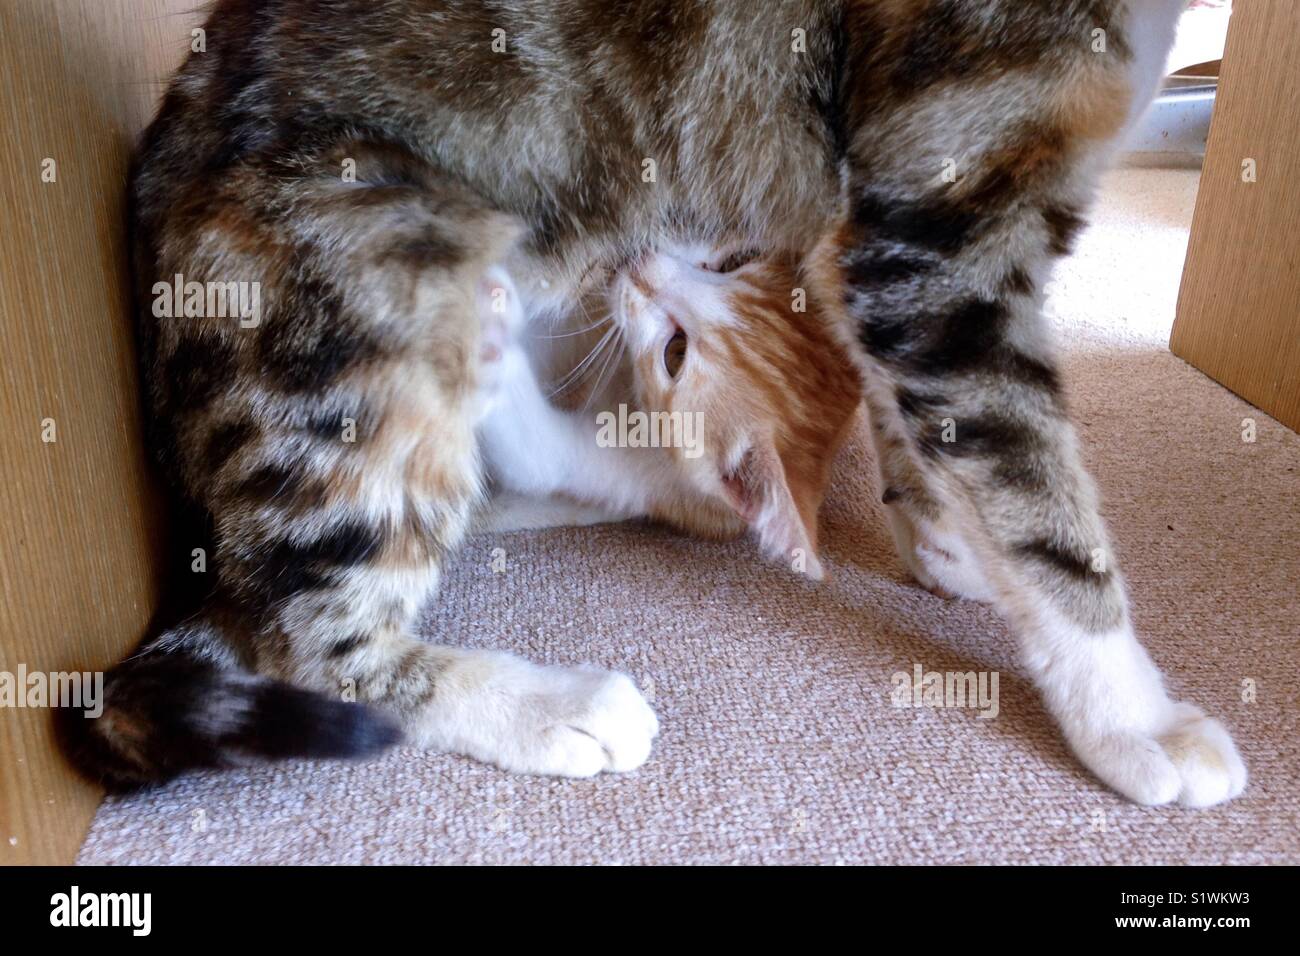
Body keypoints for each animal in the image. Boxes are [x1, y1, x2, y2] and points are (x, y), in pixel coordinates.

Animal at [65, 0, 1242, 806]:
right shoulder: (938, 219)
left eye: (726, 263)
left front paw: (943, 527)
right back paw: (550, 704)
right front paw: (1131, 717)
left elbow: (927, 408)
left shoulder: (874, 236)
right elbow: (1031, 488)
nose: (637, 262)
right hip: (358, 303)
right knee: (314, 635)